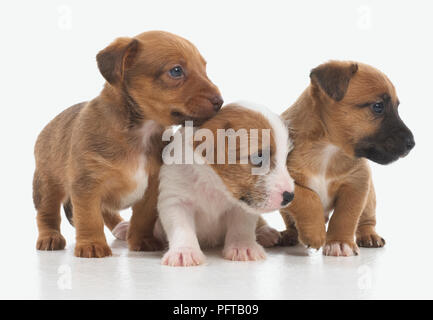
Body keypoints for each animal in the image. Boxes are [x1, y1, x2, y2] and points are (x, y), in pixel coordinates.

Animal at [33, 30, 223, 258]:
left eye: (204, 68)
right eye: (176, 71)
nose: (220, 101)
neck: (140, 133)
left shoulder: (152, 187)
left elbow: (142, 217)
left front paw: (142, 240)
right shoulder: (87, 185)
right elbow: (89, 217)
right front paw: (92, 244)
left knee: (106, 211)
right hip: (47, 185)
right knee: (47, 214)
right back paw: (50, 237)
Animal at [152, 104, 294, 266]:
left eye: (286, 158)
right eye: (259, 157)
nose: (290, 196)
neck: (215, 186)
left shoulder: (242, 207)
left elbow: (242, 226)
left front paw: (243, 246)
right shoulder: (175, 201)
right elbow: (182, 228)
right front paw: (185, 251)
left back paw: (265, 232)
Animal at [278, 60, 414, 256]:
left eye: (396, 107)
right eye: (378, 106)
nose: (412, 143)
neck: (328, 149)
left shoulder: (358, 182)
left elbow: (345, 215)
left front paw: (340, 242)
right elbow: (308, 197)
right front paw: (315, 234)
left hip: (370, 198)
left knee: (366, 220)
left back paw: (369, 235)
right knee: (291, 223)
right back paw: (289, 235)